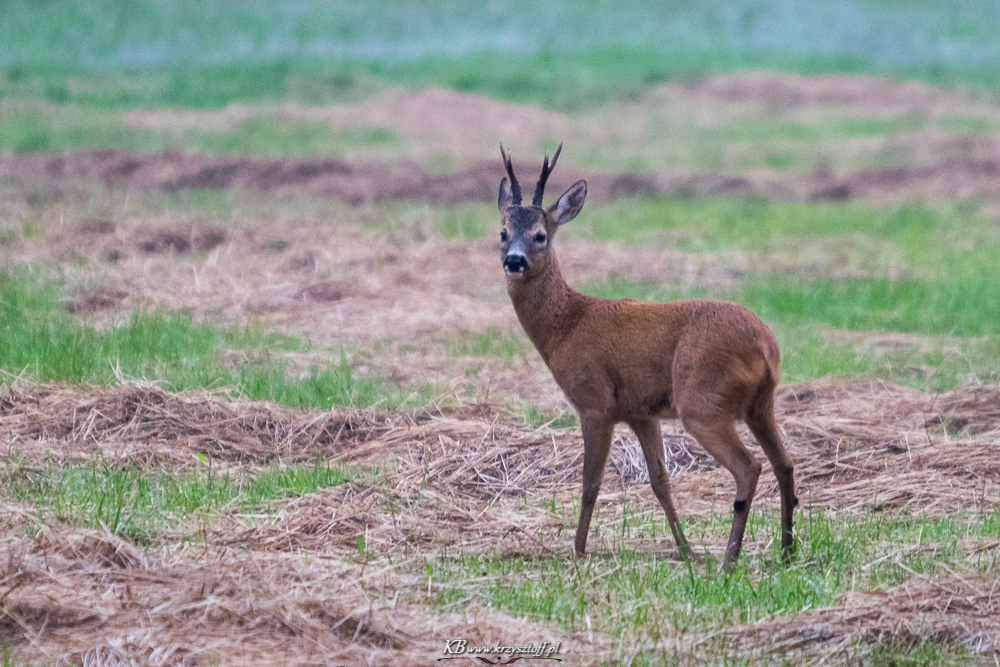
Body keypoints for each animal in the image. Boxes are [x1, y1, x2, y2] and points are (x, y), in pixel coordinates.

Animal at [496, 144, 797, 568]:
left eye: (540, 235)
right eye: (503, 233)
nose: (514, 261)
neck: (567, 325)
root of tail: (767, 347)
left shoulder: (595, 403)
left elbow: (590, 482)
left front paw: (578, 549)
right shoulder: (641, 412)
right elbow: (660, 480)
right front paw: (686, 549)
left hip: (702, 400)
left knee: (749, 466)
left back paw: (730, 558)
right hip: (760, 404)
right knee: (784, 463)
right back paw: (786, 551)